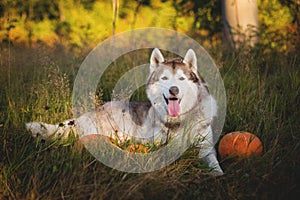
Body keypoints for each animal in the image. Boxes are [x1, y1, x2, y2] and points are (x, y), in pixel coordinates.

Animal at [25, 48, 223, 175]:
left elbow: (215, 164)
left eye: (181, 79)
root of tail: (83, 116)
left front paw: (217, 174)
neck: (181, 119)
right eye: (165, 78)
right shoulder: (161, 144)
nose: (173, 90)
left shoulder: (207, 148)